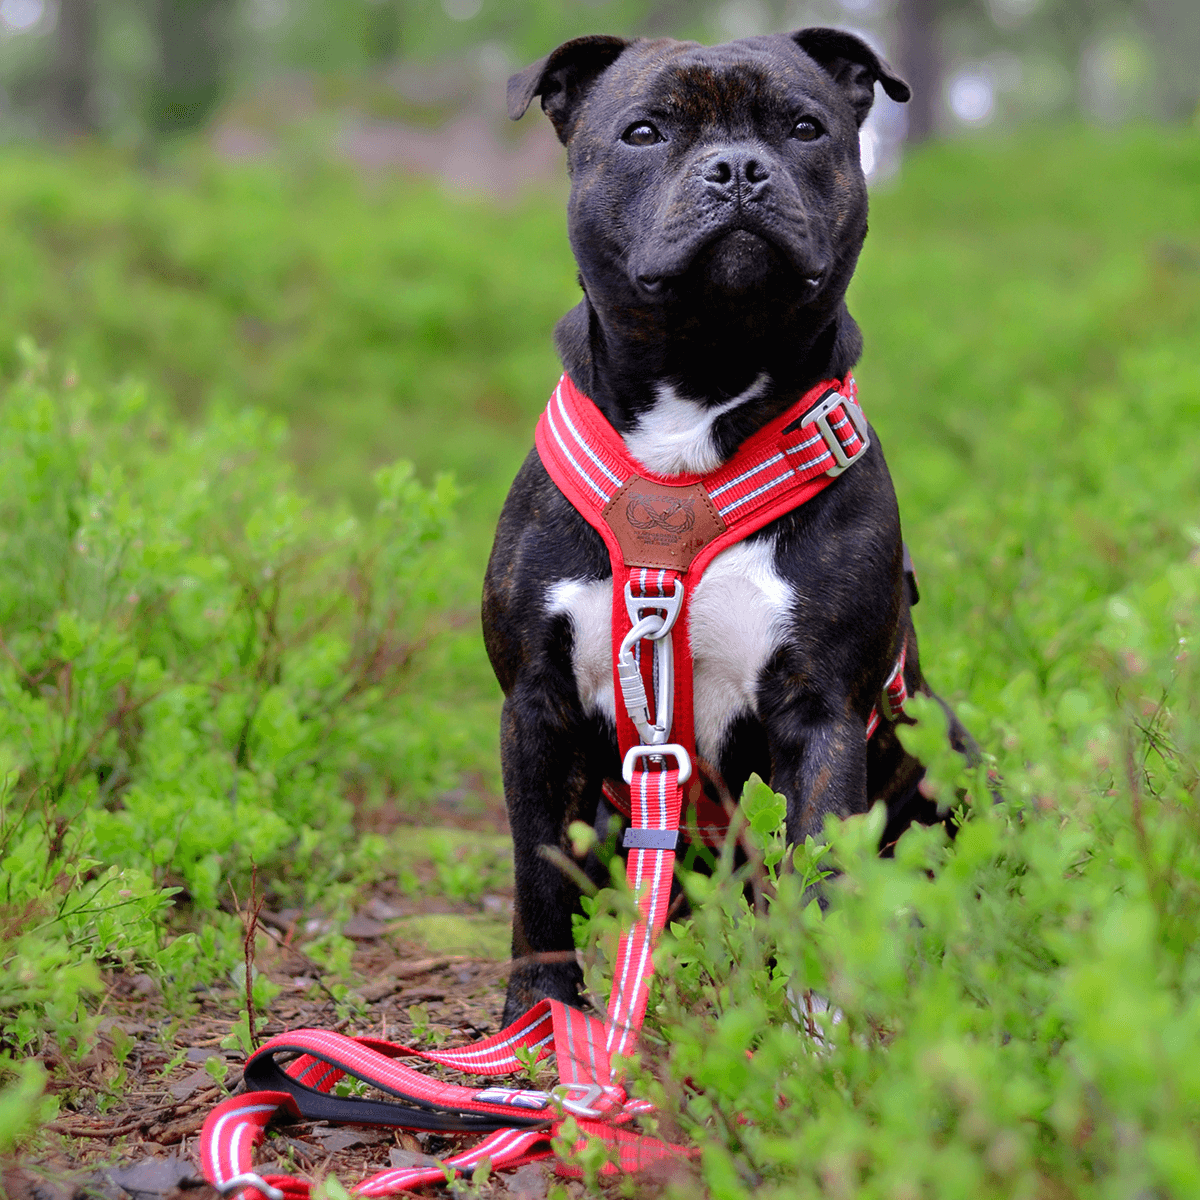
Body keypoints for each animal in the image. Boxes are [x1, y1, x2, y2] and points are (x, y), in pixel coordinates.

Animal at [482, 30, 969, 1022]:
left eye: (805, 127)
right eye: (643, 130)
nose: (739, 167)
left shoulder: (821, 713)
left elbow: (821, 875)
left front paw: (819, 1031)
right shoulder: (535, 707)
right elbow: (536, 876)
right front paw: (539, 1022)